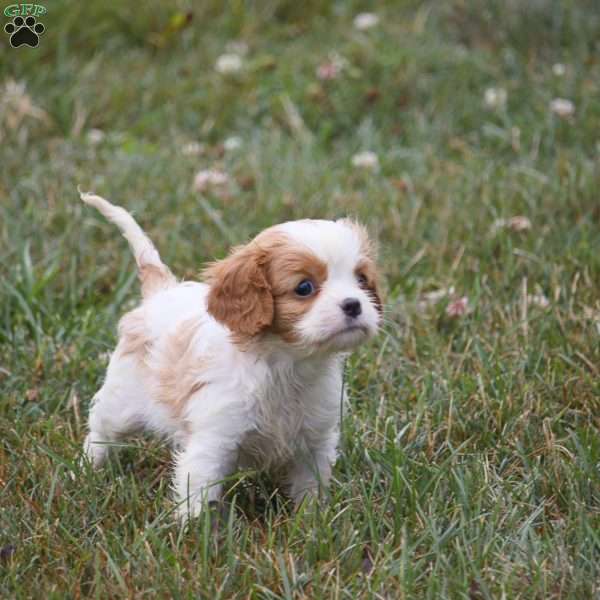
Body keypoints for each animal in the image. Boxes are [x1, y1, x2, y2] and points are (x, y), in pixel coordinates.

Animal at [81, 192, 380, 520]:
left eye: (362, 280)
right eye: (304, 287)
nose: (354, 304)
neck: (287, 364)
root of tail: (162, 291)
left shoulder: (316, 441)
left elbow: (311, 489)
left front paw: (312, 521)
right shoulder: (213, 441)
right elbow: (198, 494)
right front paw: (195, 530)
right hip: (121, 403)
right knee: (100, 430)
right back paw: (88, 468)